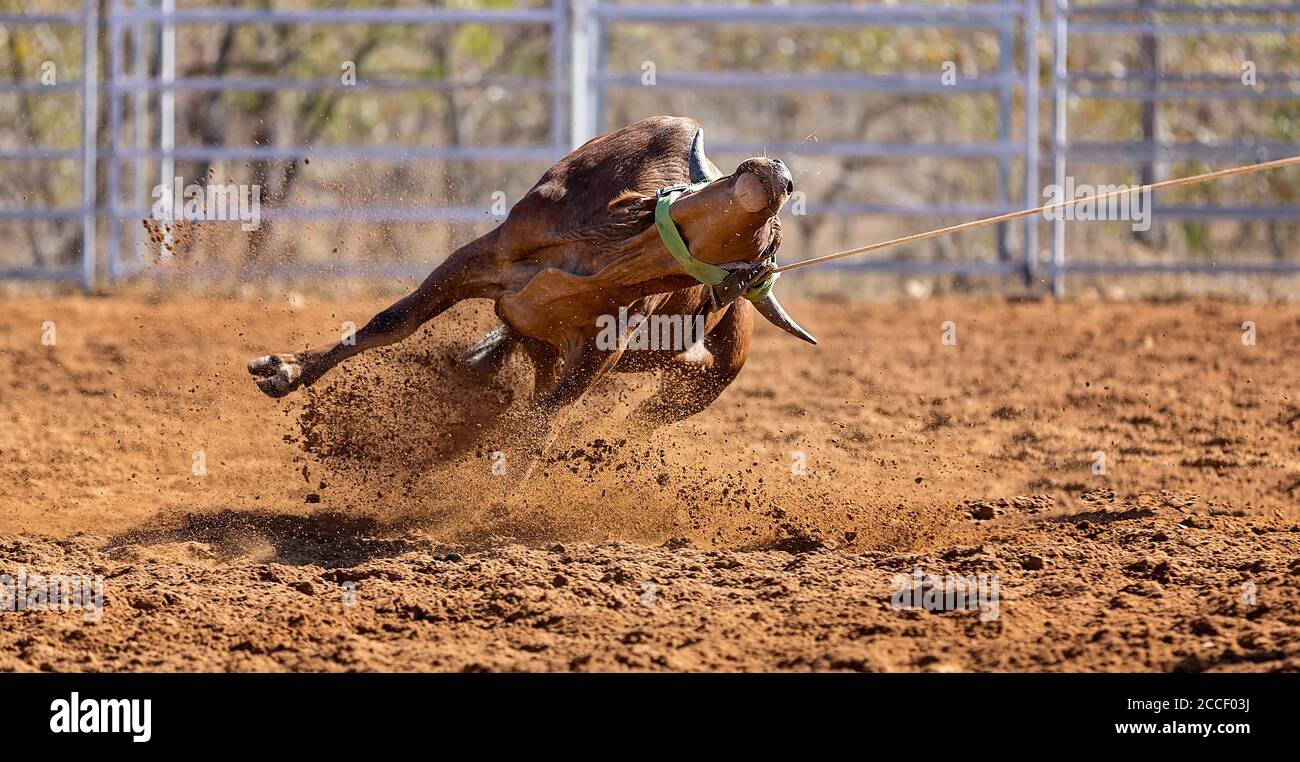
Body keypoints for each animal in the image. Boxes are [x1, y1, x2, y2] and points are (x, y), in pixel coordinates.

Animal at [248, 116, 816, 450]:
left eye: (769, 245)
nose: (781, 174)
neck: (607, 253)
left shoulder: (600, 350)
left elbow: (546, 418)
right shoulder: (480, 259)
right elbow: (393, 321)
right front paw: (284, 371)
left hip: (710, 378)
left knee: (641, 418)